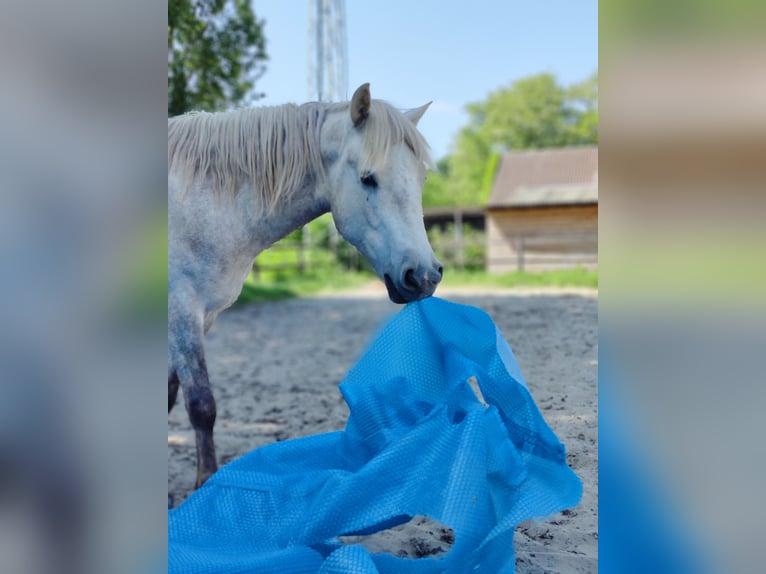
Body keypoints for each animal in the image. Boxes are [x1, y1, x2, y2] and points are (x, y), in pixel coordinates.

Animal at [168, 84, 444, 490]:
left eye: (421, 179)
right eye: (368, 178)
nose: (423, 276)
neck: (200, 202)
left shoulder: (200, 317)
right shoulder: (182, 308)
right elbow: (201, 405)